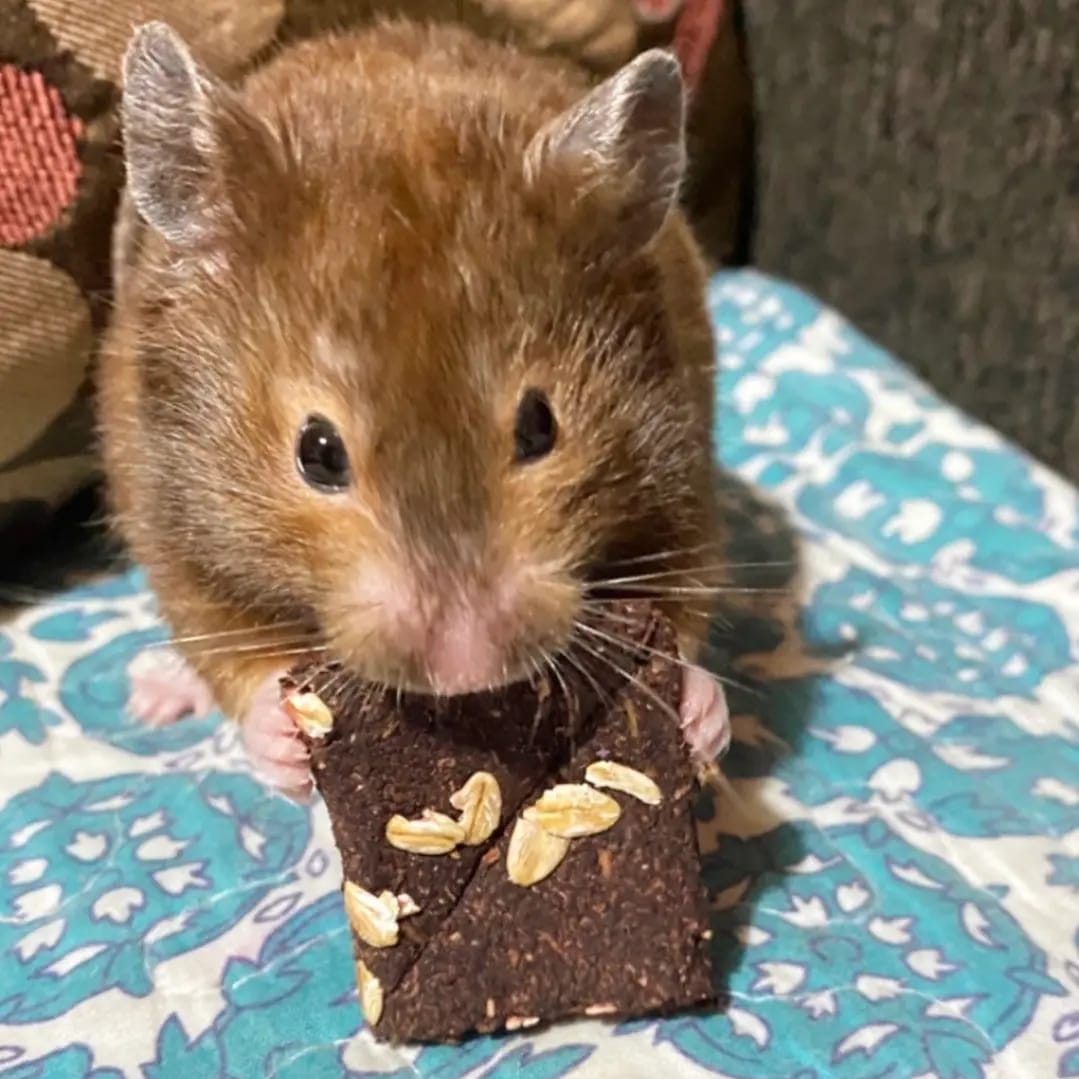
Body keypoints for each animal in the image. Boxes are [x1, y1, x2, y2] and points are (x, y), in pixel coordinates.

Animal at [98, 18, 730, 797]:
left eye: (540, 426)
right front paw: (284, 742)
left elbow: (688, 605)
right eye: (317, 453)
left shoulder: (682, 475)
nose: (468, 670)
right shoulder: (172, 525)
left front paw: (699, 717)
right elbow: (232, 652)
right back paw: (153, 693)